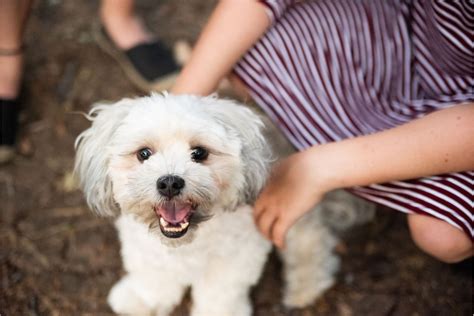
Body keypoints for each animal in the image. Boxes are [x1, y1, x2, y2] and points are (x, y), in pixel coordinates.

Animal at [75, 94, 374, 316]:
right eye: (144, 153)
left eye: (199, 153)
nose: (170, 182)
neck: (187, 242)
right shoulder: (146, 251)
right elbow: (154, 278)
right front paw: (142, 299)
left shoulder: (238, 257)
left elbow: (220, 294)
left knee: (312, 240)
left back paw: (305, 286)